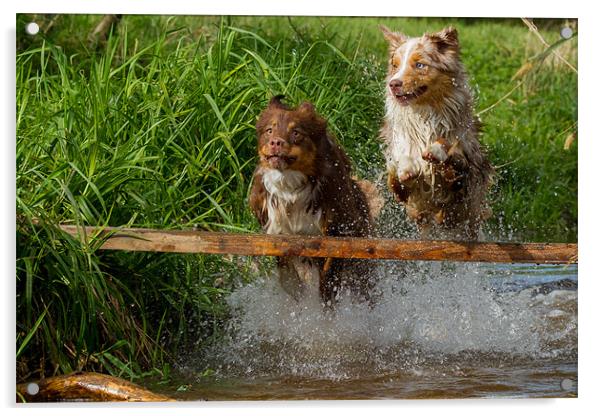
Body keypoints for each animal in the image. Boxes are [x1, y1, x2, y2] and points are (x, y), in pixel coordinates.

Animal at [248, 96, 380, 304]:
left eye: (296, 133)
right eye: (269, 130)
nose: (276, 142)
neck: (291, 187)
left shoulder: (337, 228)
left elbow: (330, 272)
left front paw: (327, 297)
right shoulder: (275, 227)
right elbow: (286, 270)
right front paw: (294, 289)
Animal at [380, 26, 492, 239]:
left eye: (420, 65)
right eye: (395, 66)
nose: (393, 84)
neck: (424, 115)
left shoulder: (465, 175)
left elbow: (448, 149)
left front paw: (435, 151)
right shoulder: (408, 198)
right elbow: (398, 171)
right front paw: (407, 166)